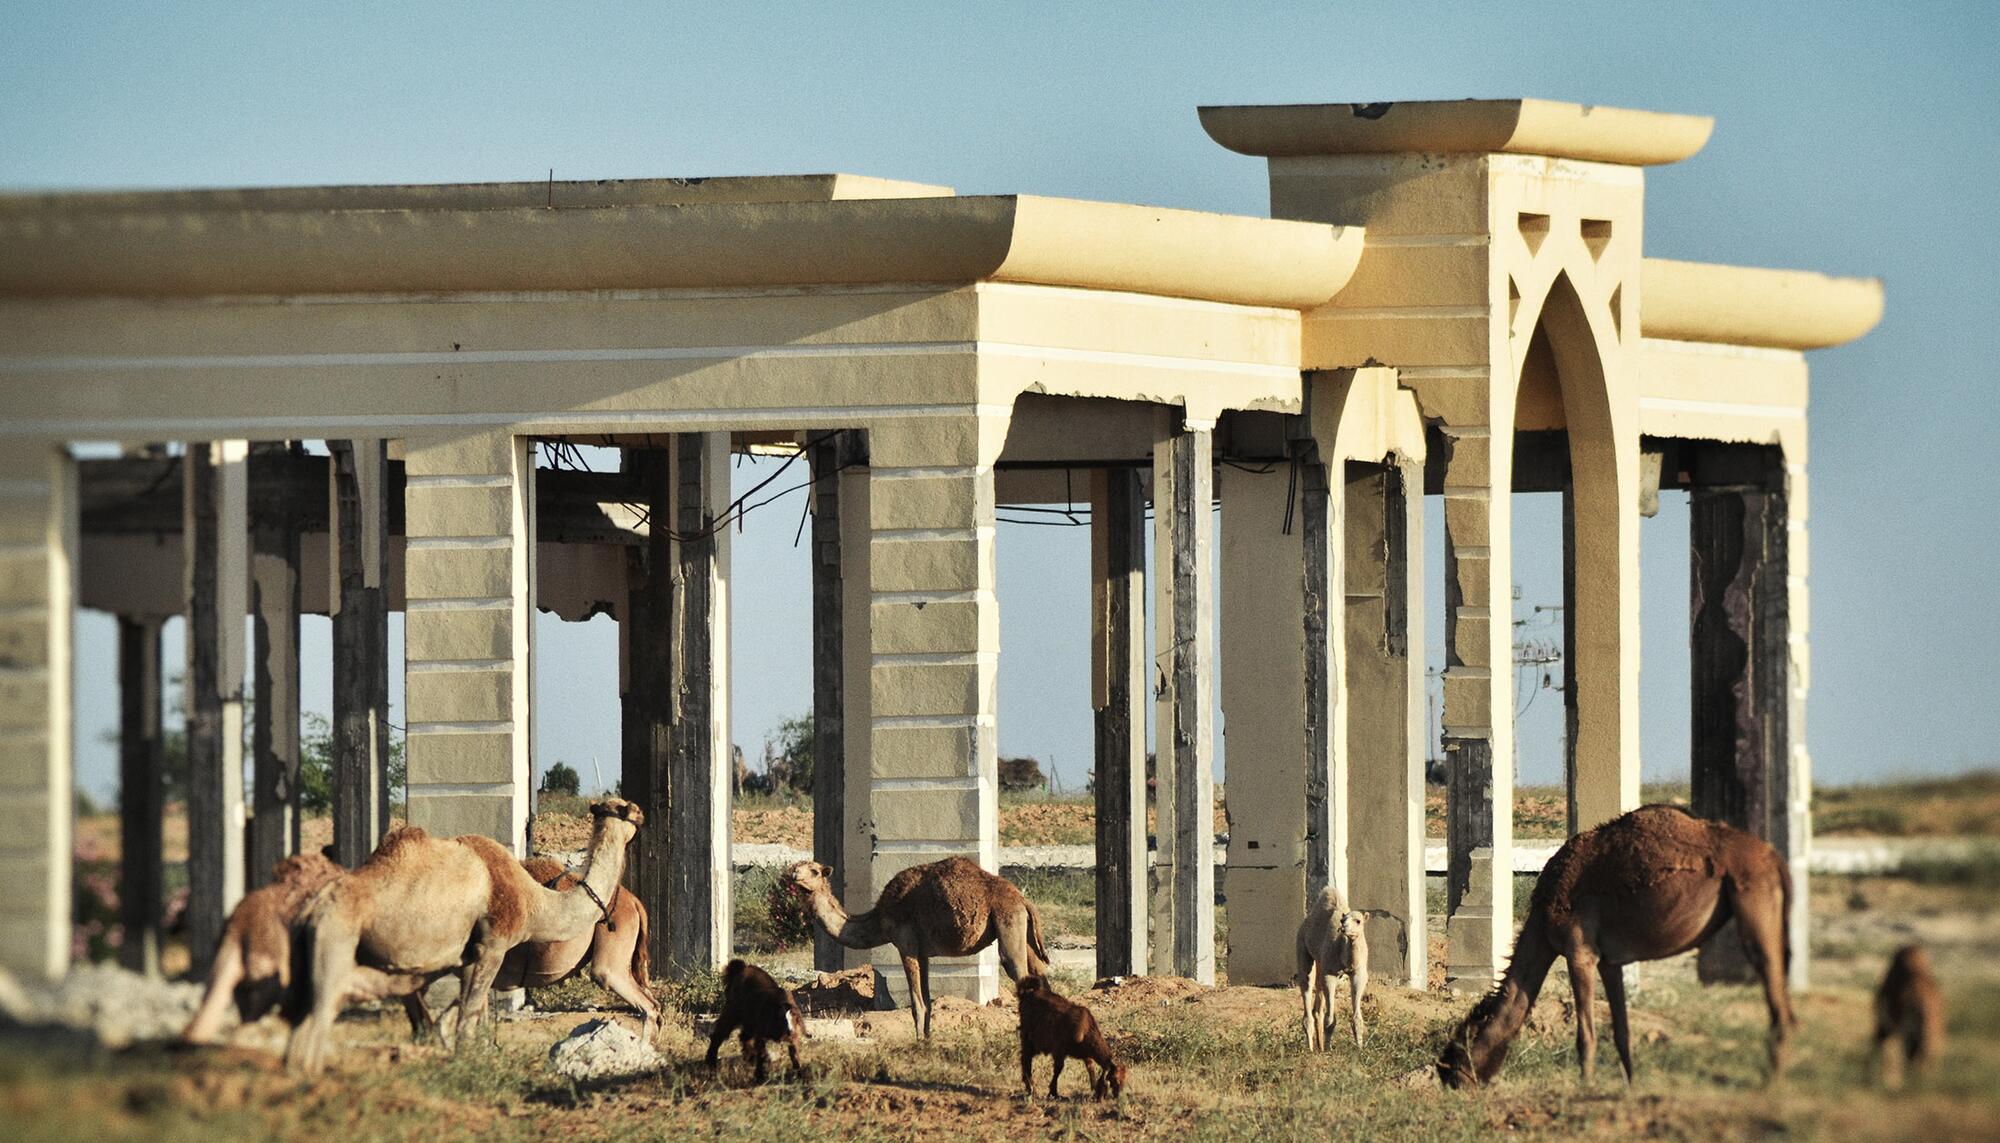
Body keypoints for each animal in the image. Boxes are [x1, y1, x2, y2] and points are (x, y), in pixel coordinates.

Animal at [286, 795, 644, 1071]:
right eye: (628, 809)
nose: (643, 814)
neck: (533, 900)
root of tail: (310, 911)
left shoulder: (467, 960)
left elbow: (462, 1022)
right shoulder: (493, 945)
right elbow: (466, 1022)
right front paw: (468, 1070)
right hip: (334, 940)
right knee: (318, 1020)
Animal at [780, 855, 1056, 1039]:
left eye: (814, 871)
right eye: (796, 868)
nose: (794, 876)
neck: (879, 918)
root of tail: (1023, 900)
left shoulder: (907, 945)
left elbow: (917, 1003)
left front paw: (917, 1042)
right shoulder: (924, 953)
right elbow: (928, 1001)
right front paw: (927, 1040)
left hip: (1008, 923)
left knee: (1017, 969)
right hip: (1021, 930)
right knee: (1040, 973)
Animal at [1296, 883, 1376, 1055]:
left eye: (1358, 921)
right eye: (1343, 920)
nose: (1343, 928)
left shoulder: (1358, 974)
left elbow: (1357, 1018)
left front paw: (1360, 1049)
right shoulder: (1330, 974)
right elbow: (1330, 1019)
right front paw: (1328, 1050)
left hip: (1320, 962)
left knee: (1317, 1007)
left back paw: (1319, 1046)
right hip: (1303, 948)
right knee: (1307, 987)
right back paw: (1312, 1049)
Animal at [1440, 803, 1800, 1087]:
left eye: (1457, 1053)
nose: (1451, 1082)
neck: (1541, 918)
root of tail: (1774, 858)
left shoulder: (1579, 952)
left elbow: (1586, 1035)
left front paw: (1585, 1091)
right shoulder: (1609, 962)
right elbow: (1622, 1032)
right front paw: (1630, 1087)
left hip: (1753, 899)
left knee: (1776, 996)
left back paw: (1772, 1085)